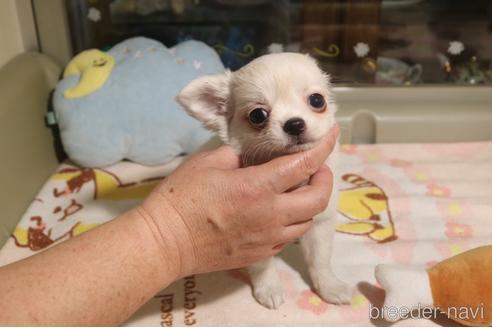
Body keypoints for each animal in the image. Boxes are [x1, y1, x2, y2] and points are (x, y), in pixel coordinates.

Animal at [177, 52, 350, 308]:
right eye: (257, 115)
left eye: (317, 101)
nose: (294, 123)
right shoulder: (256, 238)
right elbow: (262, 265)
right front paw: (269, 289)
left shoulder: (321, 221)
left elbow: (320, 259)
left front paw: (330, 287)